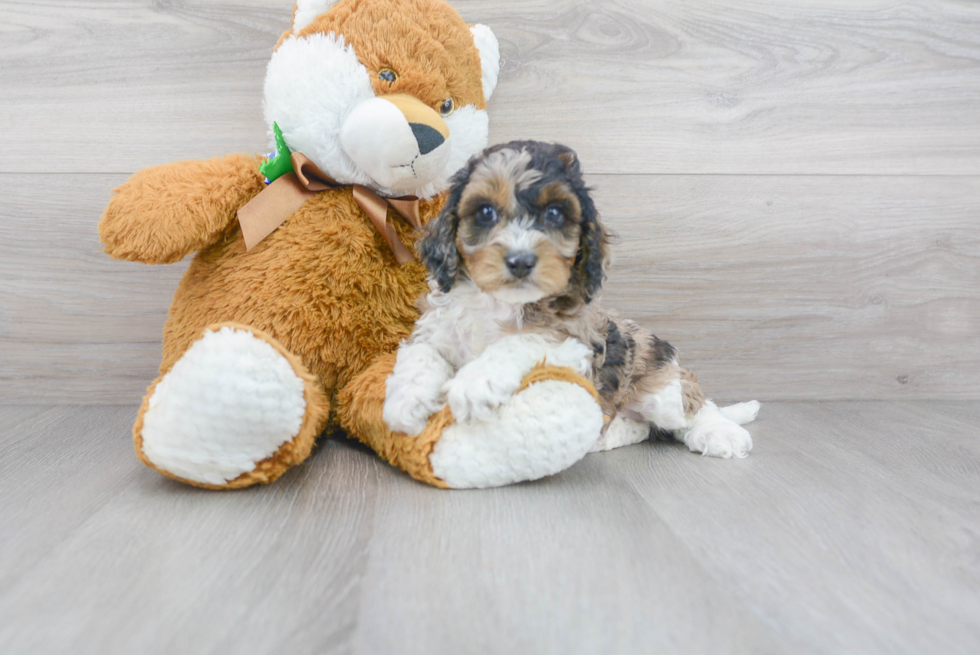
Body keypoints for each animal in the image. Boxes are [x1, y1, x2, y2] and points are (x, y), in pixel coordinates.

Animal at [382, 140, 756, 456]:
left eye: (555, 214)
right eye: (485, 212)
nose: (520, 261)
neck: (499, 302)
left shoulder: (575, 344)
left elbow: (520, 342)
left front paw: (475, 382)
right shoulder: (435, 330)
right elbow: (420, 354)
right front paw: (405, 401)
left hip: (662, 389)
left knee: (693, 404)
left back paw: (721, 433)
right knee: (641, 426)